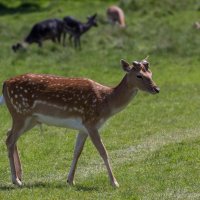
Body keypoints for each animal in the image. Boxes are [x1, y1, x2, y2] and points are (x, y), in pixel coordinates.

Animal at [0, 58, 159, 188]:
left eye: (151, 74)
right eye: (139, 75)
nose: (156, 89)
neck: (106, 102)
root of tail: (5, 83)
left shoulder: (83, 128)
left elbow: (77, 151)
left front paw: (70, 180)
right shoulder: (91, 123)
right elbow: (103, 151)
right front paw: (114, 183)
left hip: (31, 119)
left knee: (9, 135)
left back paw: (20, 176)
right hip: (20, 113)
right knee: (10, 139)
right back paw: (16, 180)